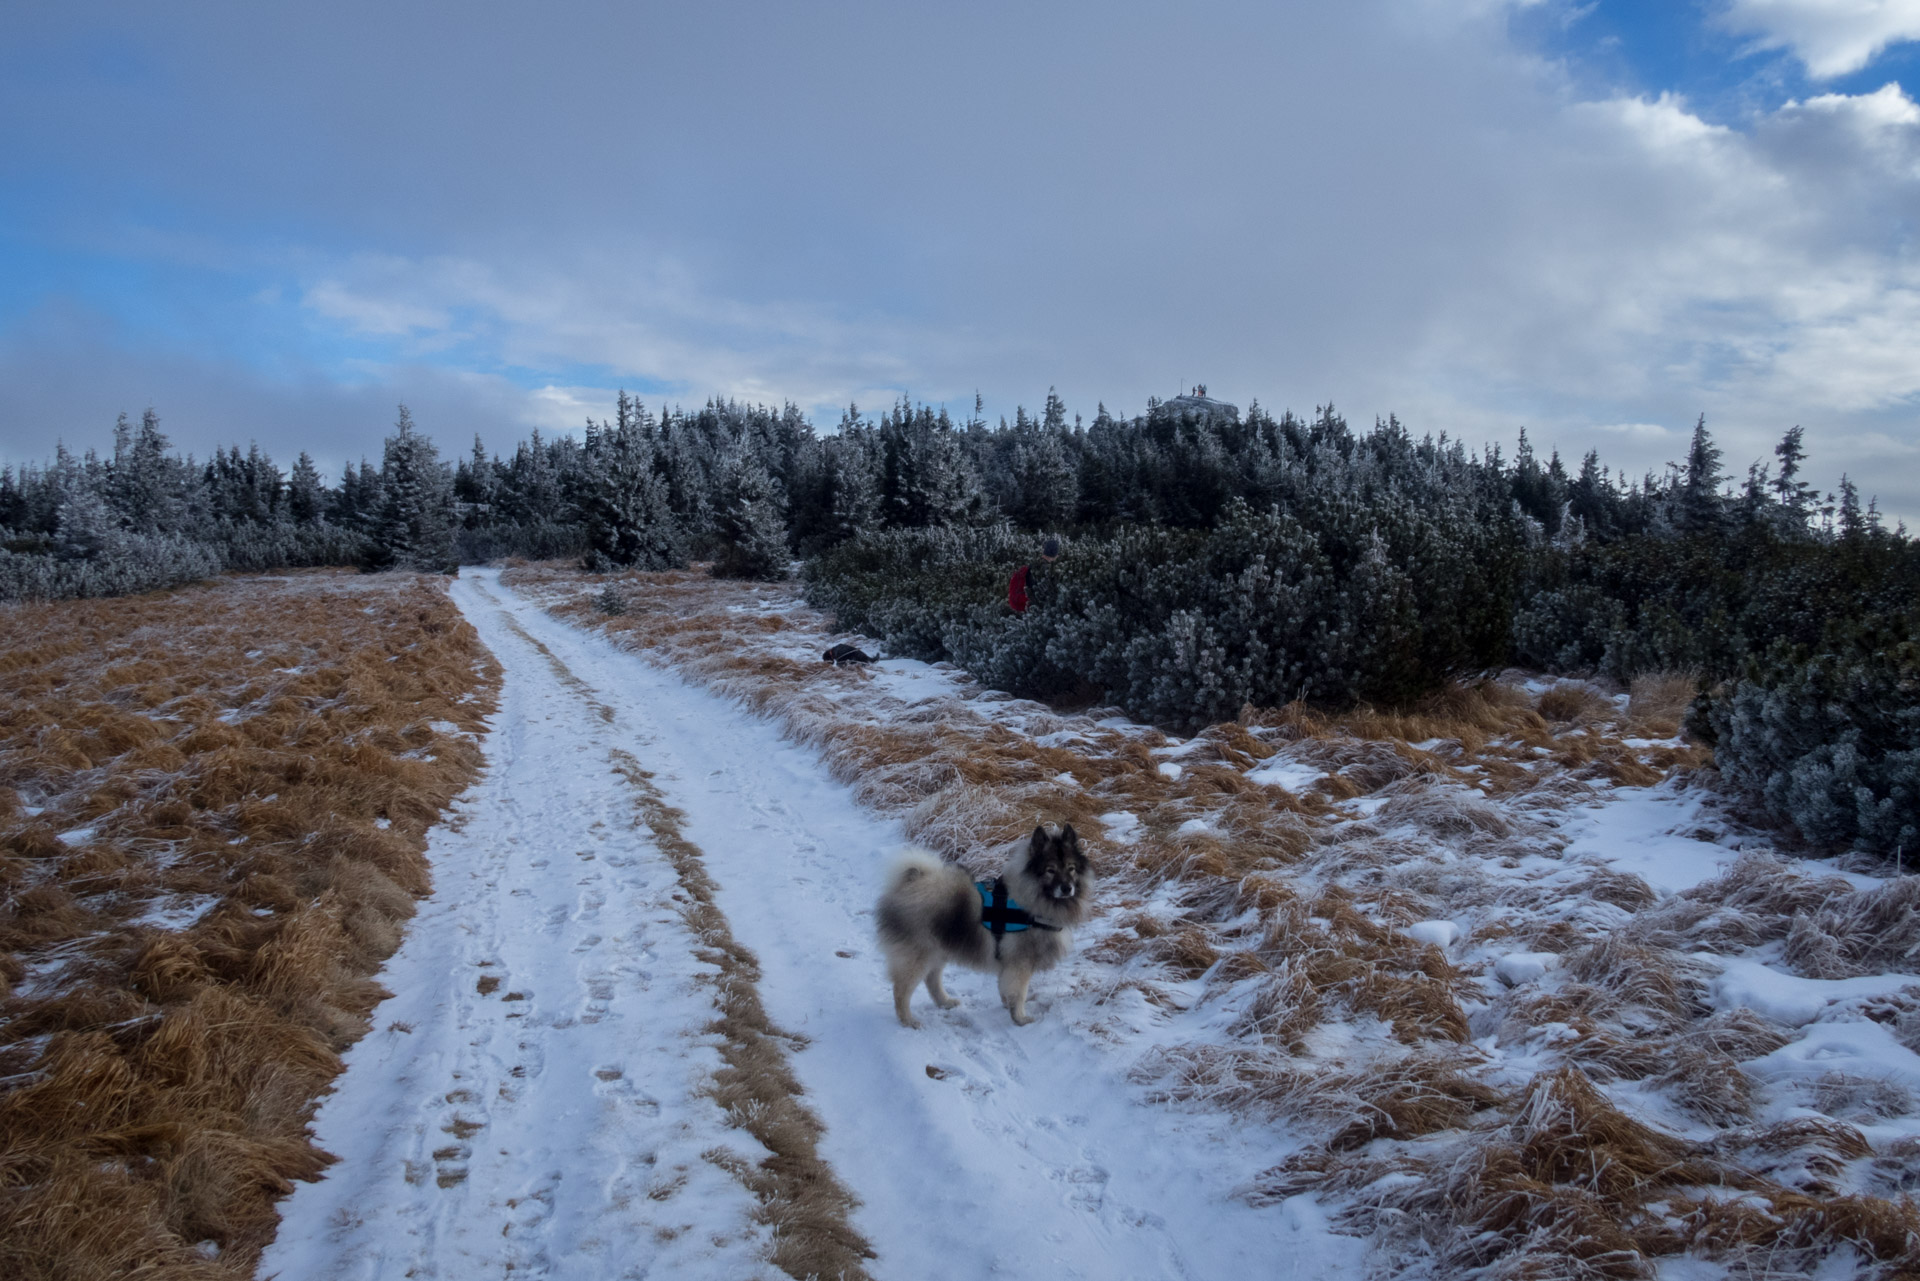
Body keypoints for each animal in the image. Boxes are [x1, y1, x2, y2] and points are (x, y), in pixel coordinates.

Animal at [875, 825, 1090, 1029]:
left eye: (1071, 868)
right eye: (1050, 870)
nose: (1067, 888)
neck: (1030, 901)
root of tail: (909, 884)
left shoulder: (1008, 963)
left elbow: (1005, 987)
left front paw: (1008, 1005)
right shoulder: (1020, 963)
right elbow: (1019, 991)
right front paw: (1020, 1018)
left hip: (938, 949)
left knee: (932, 979)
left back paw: (945, 1002)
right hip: (918, 955)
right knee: (902, 991)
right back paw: (908, 1021)